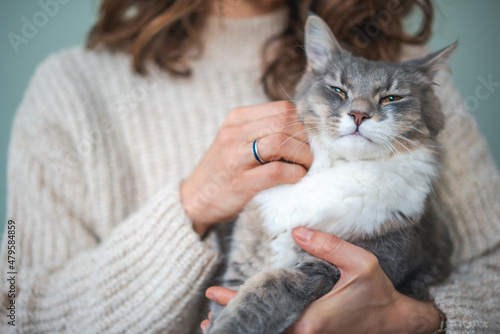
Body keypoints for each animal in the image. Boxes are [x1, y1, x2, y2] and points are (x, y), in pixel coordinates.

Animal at [205, 15, 456, 334]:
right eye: (338, 90)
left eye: (391, 98)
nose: (359, 115)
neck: (340, 167)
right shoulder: (245, 254)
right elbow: (232, 294)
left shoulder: (332, 269)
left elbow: (268, 291)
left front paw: (229, 324)